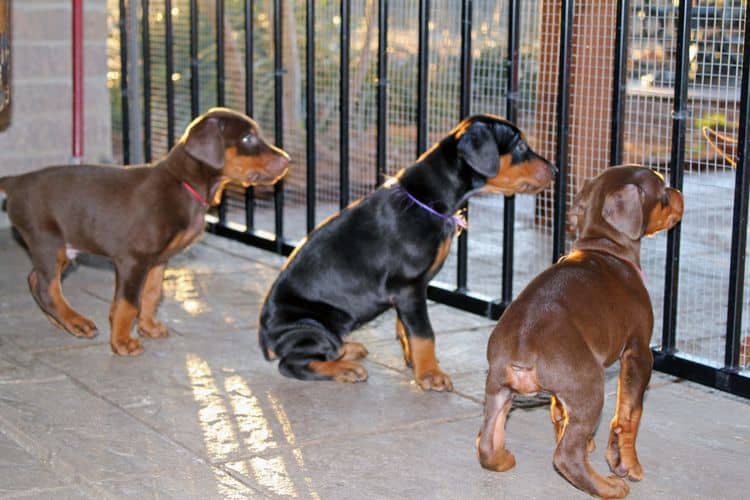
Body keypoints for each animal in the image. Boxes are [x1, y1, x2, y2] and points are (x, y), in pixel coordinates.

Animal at [0, 106, 290, 356]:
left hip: (64, 249)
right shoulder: (132, 259)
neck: (184, 184)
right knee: (46, 288)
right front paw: (121, 342)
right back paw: (76, 321)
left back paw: (64, 322)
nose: (287, 161)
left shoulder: (158, 260)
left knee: (36, 280)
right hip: (47, 241)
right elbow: (127, 303)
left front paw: (148, 327)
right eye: (248, 138)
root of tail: (16, 182)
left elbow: (151, 295)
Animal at [262, 114, 556, 390]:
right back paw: (343, 369)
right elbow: (423, 333)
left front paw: (415, 363)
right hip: (313, 325)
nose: (554, 169)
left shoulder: (409, 291)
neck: (429, 199)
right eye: (520, 146)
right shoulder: (409, 286)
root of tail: (265, 339)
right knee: (292, 364)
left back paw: (349, 350)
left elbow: (405, 329)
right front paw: (430, 374)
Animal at [478, 166, 684, 498]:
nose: (679, 193)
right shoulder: (638, 352)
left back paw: (501, 459)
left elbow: (559, 413)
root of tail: (523, 346)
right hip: (590, 386)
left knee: (486, 440)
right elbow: (629, 414)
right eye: (663, 192)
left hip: (498, 389)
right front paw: (628, 464)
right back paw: (608, 486)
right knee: (566, 455)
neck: (606, 247)